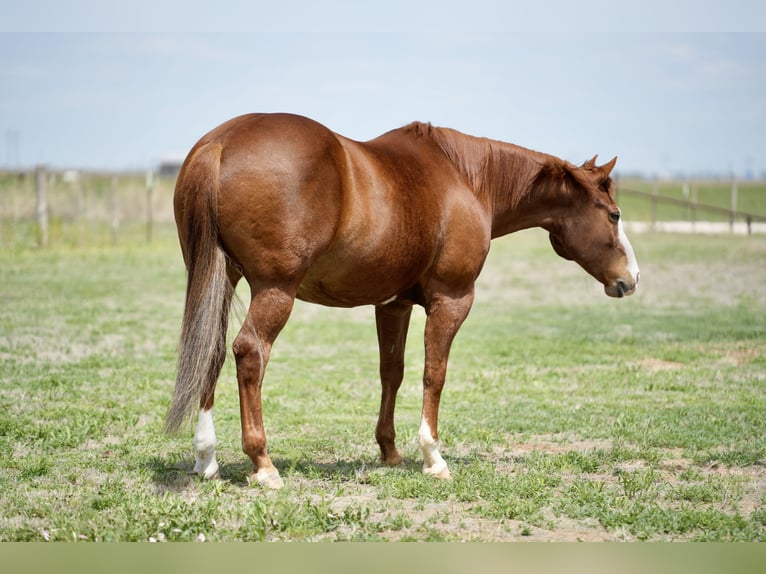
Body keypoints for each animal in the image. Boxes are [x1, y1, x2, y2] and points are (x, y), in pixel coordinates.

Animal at [168, 113, 640, 490]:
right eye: (614, 214)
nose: (631, 279)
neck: (466, 180)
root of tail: (221, 142)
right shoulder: (452, 299)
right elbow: (435, 373)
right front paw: (434, 457)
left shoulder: (392, 304)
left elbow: (390, 373)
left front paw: (390, 452)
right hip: (274, 289)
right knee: (249, 353)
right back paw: (263, 464)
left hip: (220, 279)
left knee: (210, 352)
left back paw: (206, 458)